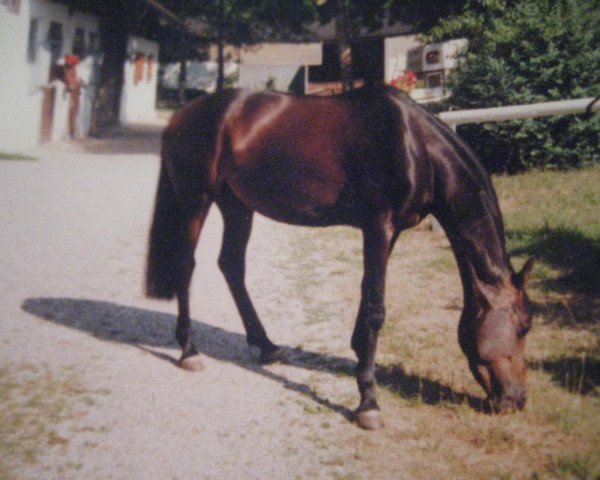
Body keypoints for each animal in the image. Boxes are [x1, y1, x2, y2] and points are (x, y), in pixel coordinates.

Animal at [145, 86, 536, 432]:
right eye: (523, 326)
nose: (516, 400)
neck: (416, 144)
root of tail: (181, 115)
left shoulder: (388, 231)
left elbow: (367, 297)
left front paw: (359, 358)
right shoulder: (378, 225)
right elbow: (377, 309)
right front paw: (368, 403)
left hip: (237, 205)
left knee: (231, 266)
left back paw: (267, 346)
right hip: (196, 201)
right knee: (186, 266)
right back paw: (189, 351)